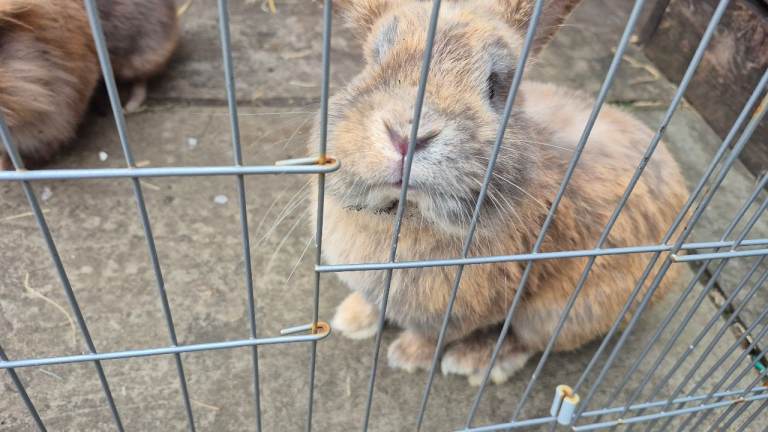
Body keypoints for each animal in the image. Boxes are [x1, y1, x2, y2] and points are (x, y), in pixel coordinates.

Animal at [310, 0, 689, 385]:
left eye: (494, 87)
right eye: (374, 62)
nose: (408, 135)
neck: (407, 213)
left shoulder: (460, 313)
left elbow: (431, 335)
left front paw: (407, 357)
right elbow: (373, 303)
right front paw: (351, 320)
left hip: (559, 313)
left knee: (528, 341)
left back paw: (474, 362)